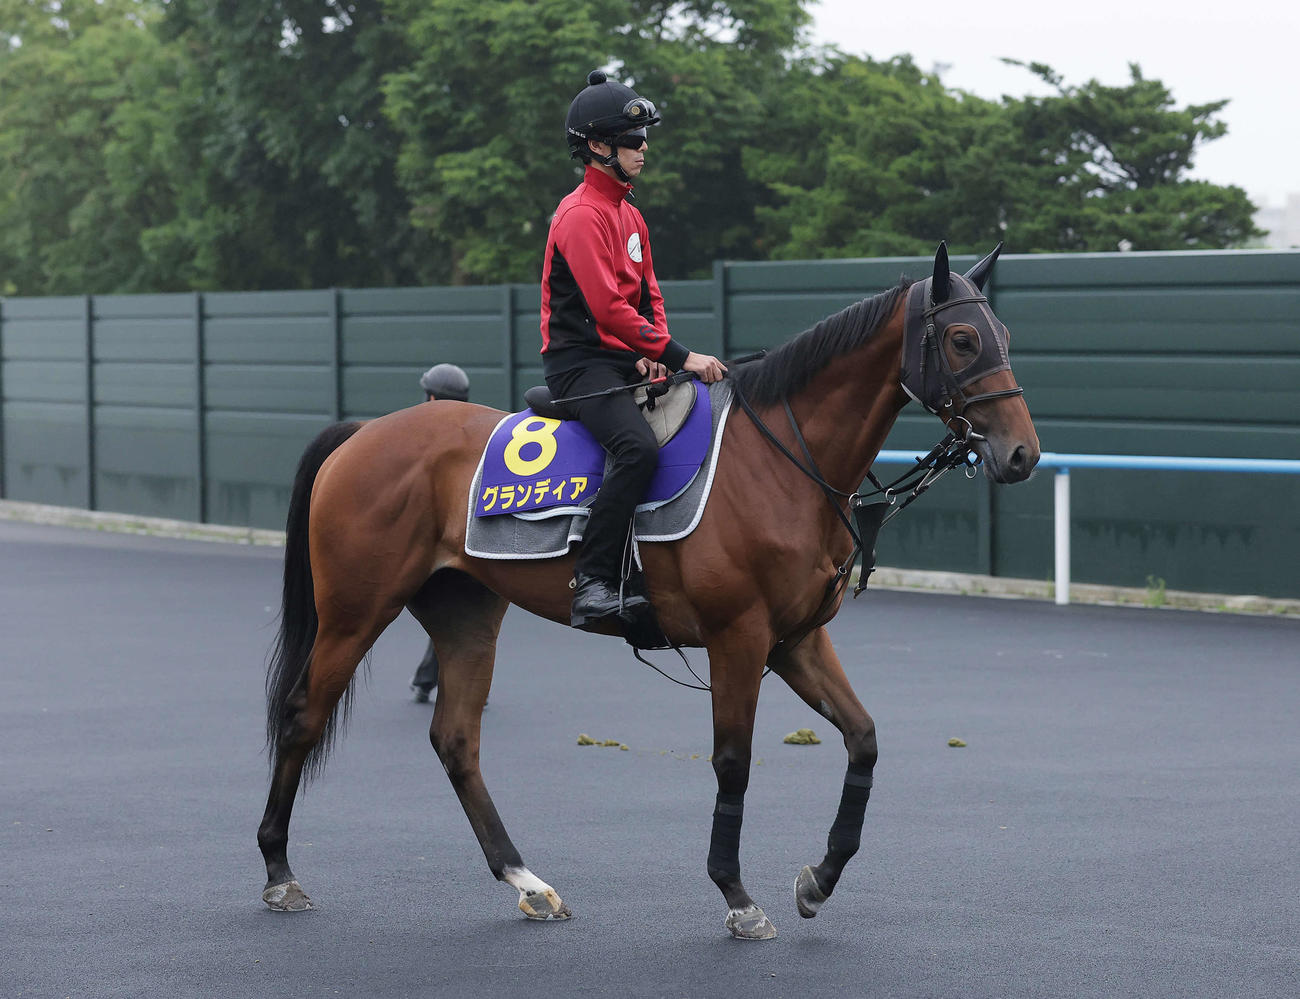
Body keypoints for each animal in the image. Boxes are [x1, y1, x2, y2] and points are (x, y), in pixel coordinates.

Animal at [257, 242, 1040, 940]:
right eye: (964, 338)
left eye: (1004, 335)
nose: (1023, 454)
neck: (780, 462)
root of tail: (363, 433)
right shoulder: (738, 637)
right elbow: (733, 761)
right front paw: (736, 895)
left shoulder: (795, 640)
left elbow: (864, 739)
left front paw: (819, 879)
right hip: (356, 612)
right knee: (301, 716)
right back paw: (278, 870)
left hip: (465, 615)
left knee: (456, 739)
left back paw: (525, 880)